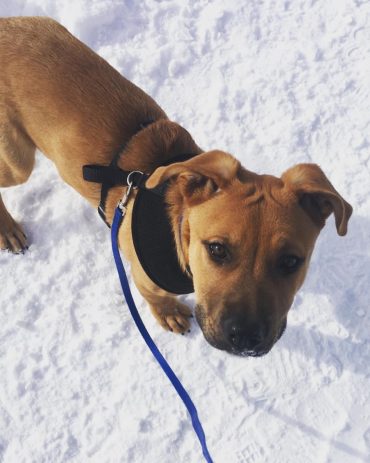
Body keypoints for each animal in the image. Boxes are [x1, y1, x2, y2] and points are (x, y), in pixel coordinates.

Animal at [0, 16, 352, 358]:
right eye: (217, 249)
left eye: (291, 261)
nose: (245, 339)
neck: (178, 231)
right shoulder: (142, 278)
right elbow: (153, 297)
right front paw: (168, 313)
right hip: (18, 162)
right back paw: (9, 231)